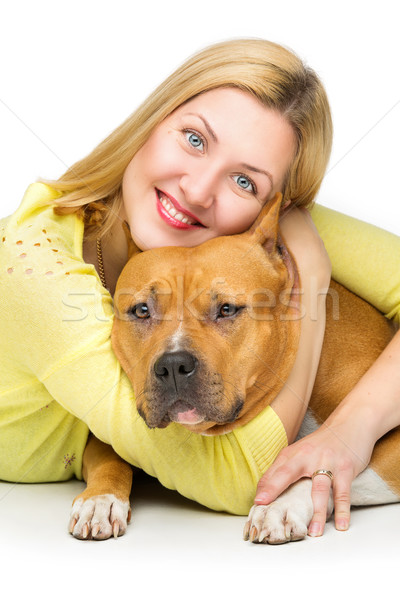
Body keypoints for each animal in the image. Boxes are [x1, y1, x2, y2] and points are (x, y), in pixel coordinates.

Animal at [67, 193, 398, 544]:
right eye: (142, 310)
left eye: (226, 309)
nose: (173, 364)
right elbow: (109, 456)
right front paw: (100, 499)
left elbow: (323, 465)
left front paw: (280, 505)